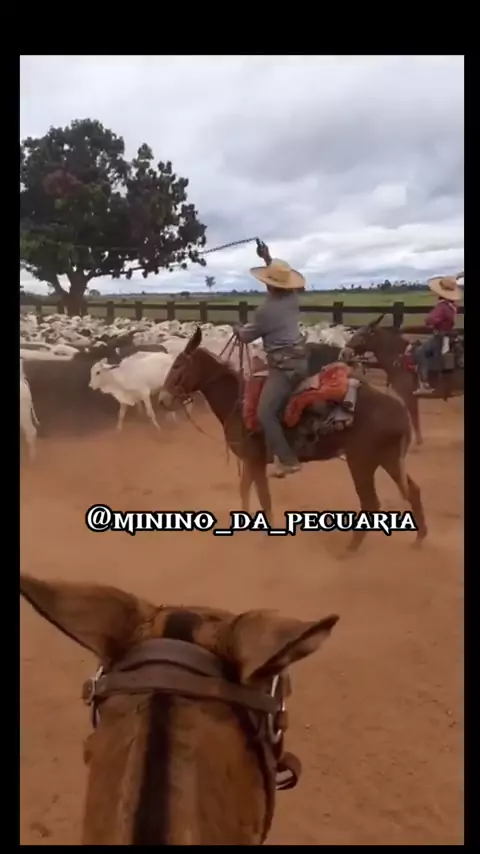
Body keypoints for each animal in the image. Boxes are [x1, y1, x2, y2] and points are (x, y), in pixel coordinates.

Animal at [159, 327, 427, 554]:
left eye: (177, 365)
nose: (162, 399)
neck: (238, 403)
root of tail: (400, 411)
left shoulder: (255, 462)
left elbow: (264, 498)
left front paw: (267, 539)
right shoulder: (249, 462)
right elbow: (244, 491)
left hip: (361, 463)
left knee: (370, 502)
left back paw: (350, 549)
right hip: (388, 459)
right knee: (413, 490)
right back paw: (419, 538)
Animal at [347, 315, 464, 446]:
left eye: (361, 334)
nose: (345, 352)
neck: (399, 358)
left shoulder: (409, 396)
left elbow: (414, 418)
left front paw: (418, 442)